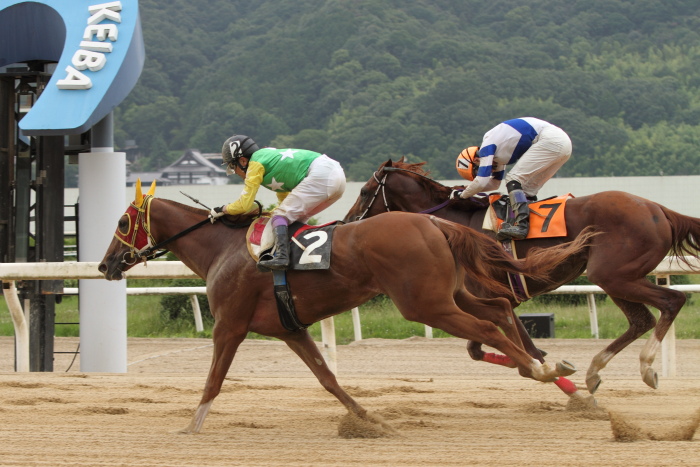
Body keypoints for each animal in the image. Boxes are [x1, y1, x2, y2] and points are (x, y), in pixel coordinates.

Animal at [98, 180, 596, 436]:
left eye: (122, 221)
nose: (105, 264)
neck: (223, 249)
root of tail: (435, 223)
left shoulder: (230, 325)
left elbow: (214, 379)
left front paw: (191, 426)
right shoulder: (290, 329)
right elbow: (327, 378)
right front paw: (369, 420)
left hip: (424, 304)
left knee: (489, 327)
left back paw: (542, 371)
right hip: (449, 294)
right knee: (496, 307)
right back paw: (556, 371)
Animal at [342, 158, 700, 394]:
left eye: (365, 191)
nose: (347, 223)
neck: (453, 222)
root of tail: (659, 209)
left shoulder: (491, 297)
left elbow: (512, 348)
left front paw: (552, 374)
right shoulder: (495, 300)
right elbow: (489, 349)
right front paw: (548, 367)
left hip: (613, 274)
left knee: (672, 300)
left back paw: (646, 368)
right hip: (615, 278)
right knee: (642, 319)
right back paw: (594, 371)